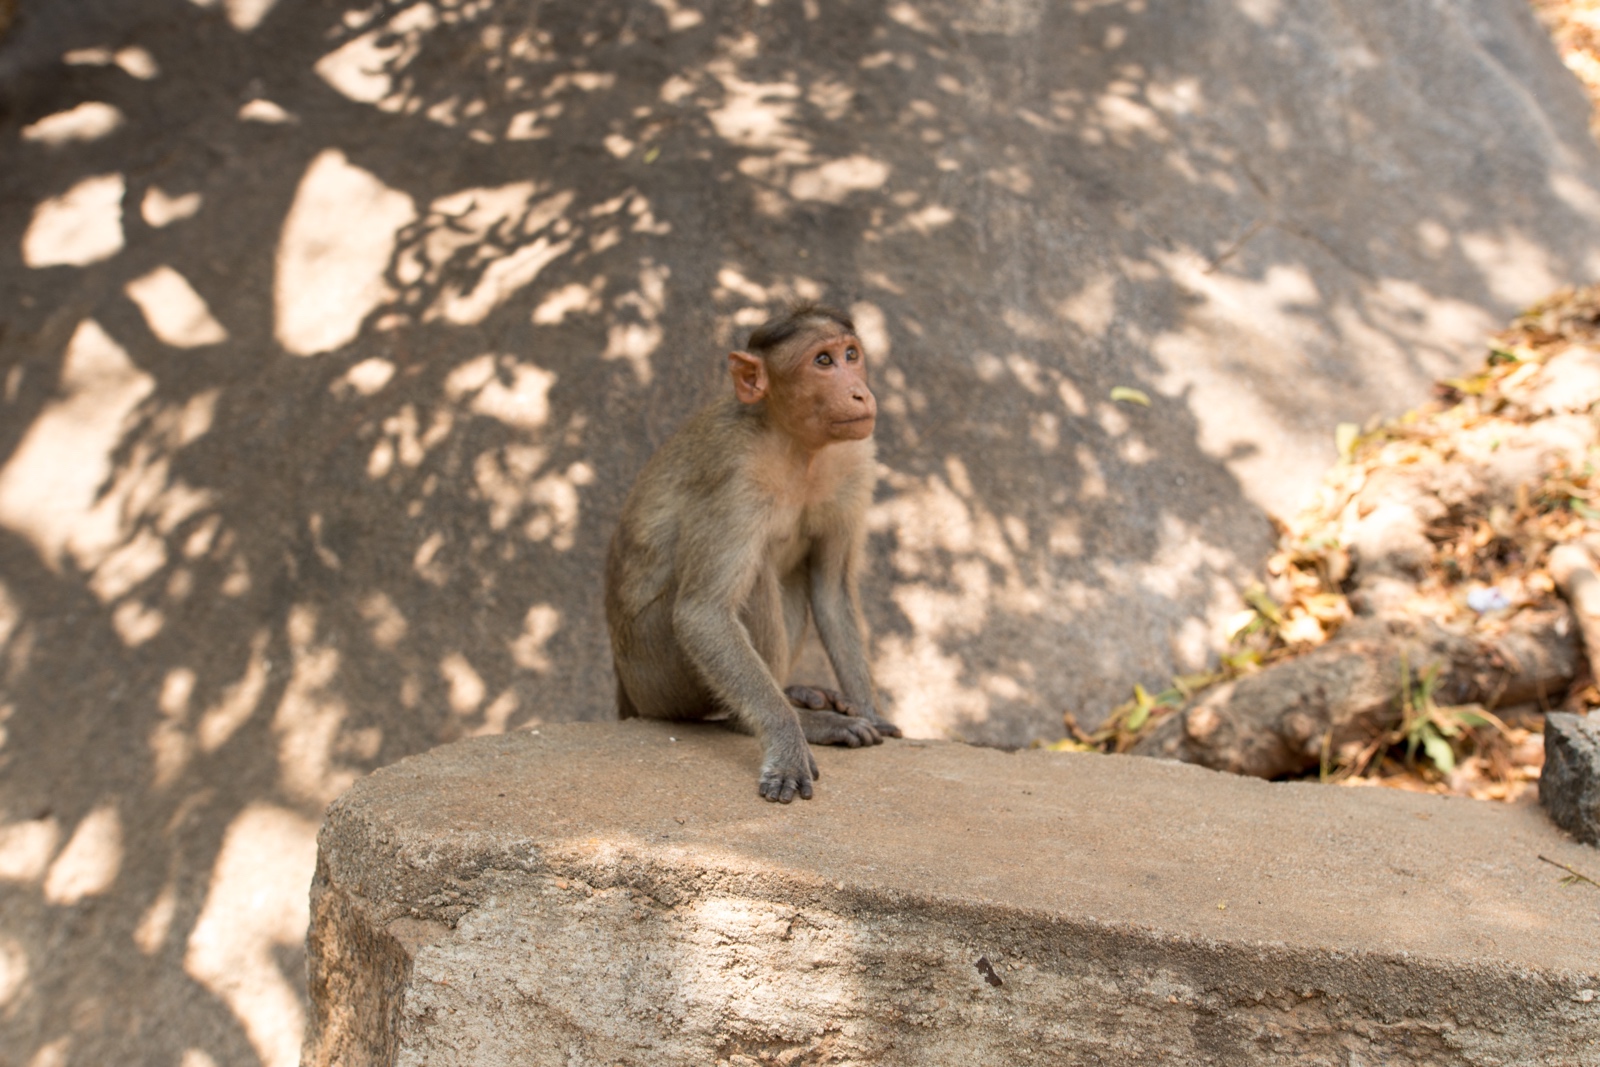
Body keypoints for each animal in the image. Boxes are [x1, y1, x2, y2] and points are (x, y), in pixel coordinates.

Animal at [605, 303, 902, 802]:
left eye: (851, 354)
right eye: (823, 361)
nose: (860, 393)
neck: (795, 444)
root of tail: (625, 686)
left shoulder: (854, 462)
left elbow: (831, 589)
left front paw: (869, 708)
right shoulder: (734, 477)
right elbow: (703, 613)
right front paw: (786, 741)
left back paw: (797, 694)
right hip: (659, 677)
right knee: (756, 573)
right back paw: (787, 721)